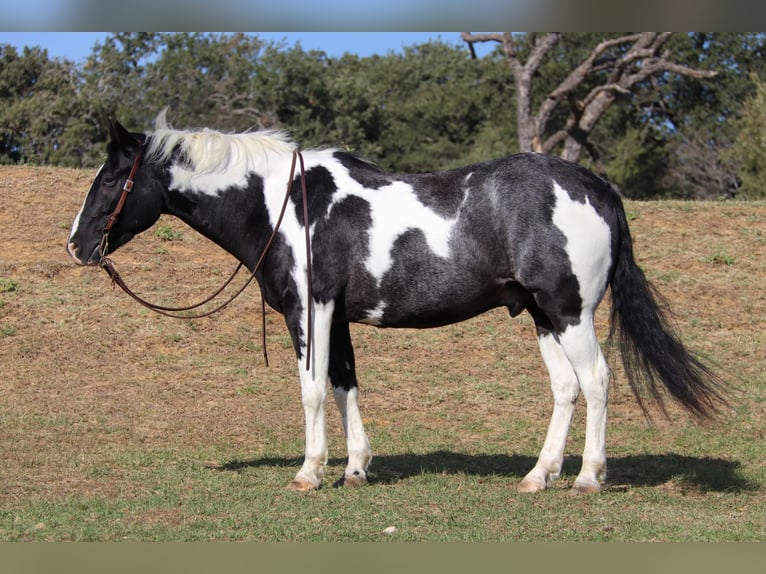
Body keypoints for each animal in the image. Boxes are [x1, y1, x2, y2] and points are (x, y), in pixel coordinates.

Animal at [67, 112, 728, 496]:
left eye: (112, 178)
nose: (76, 244)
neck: (287, 203)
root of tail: (596, 186)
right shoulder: (337, 318)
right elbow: (345, 385)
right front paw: (356, 468)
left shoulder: (311, 309)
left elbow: (312, 389)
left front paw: (310, 472)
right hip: (542, 315)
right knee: (566, 389)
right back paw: (538, 477)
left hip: (570, 312)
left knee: (596, 382)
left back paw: (589, 479)